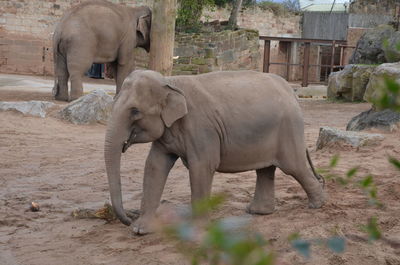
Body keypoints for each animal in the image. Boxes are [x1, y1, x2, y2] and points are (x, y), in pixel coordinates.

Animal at [104, 68, 324, 233]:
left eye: (135, 111)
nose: (129, 218)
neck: (170, 82)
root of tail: (291, 91)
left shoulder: (201, 128)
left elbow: (202, 167)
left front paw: (198, 229)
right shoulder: (166, 132)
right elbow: (154, 166)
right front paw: (141, 230)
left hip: (289, 129)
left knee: (293, 166)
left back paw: (317, 204)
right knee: (266, 169)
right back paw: (258, 212)